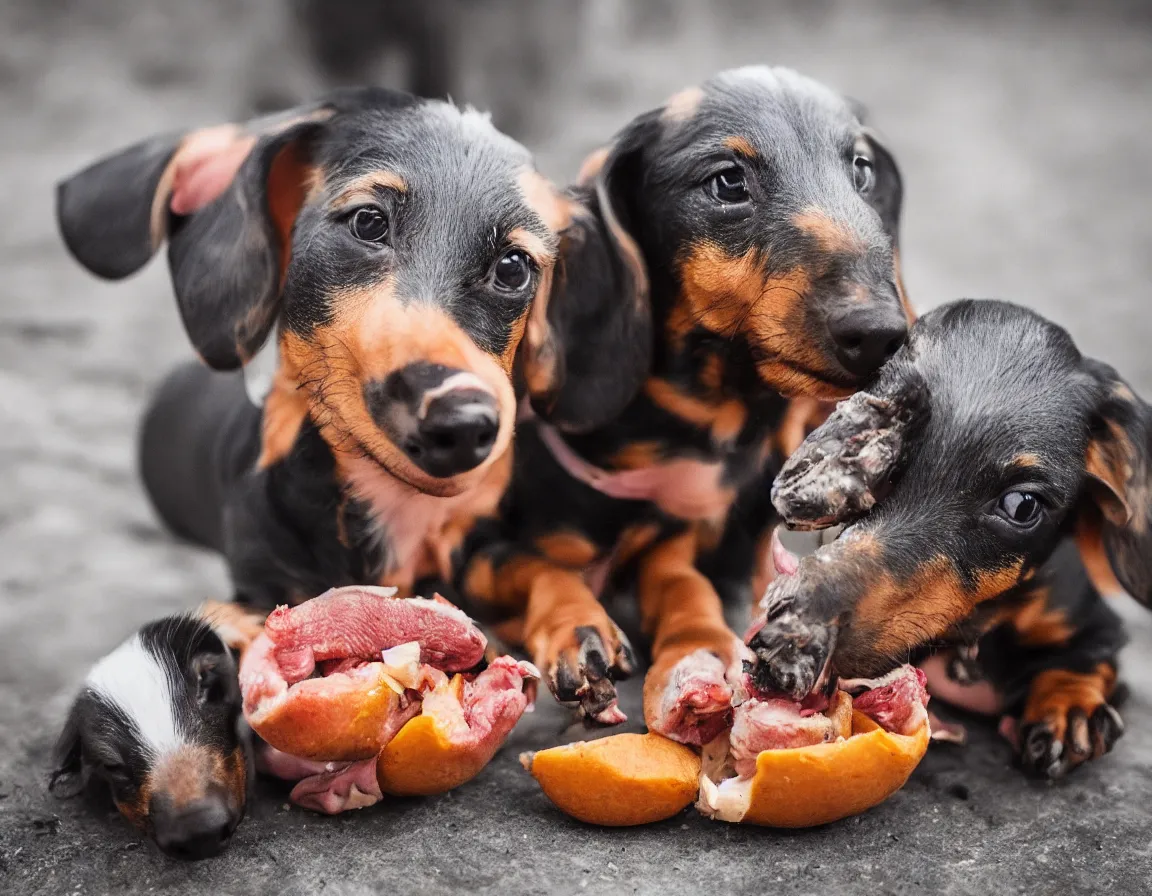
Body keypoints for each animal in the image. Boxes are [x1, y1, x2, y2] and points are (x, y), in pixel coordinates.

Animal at [453, 64, 912, 741]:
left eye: (861, 169)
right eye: (727, 181)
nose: (882, 333)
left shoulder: (692, 548)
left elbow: (684, 586)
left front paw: (699, 647)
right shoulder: (469, 555)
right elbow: (535, 566)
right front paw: (576, 628)